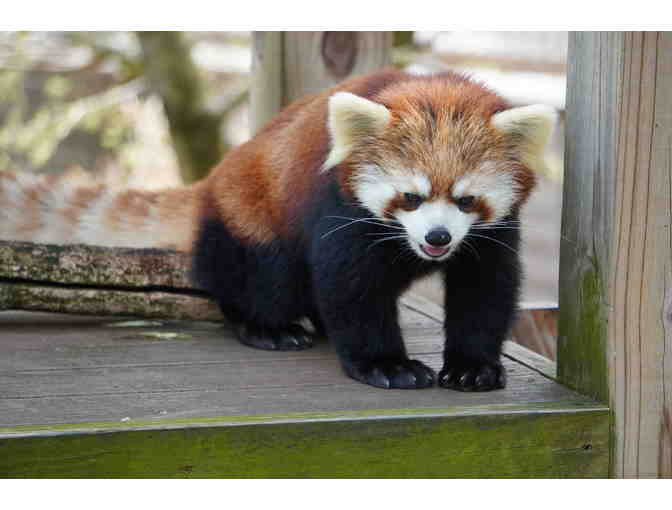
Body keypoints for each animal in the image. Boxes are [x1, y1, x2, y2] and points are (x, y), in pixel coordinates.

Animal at [0, 69, 556, 390]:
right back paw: (267, 326)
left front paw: (471, 366)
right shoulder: (338, 207)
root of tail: (210, 181)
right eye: (411, 198)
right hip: (250, 218)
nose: (437, 238)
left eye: (465, 200)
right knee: (264, 277)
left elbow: (486, 291)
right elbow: (351, 287)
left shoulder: (492, 234)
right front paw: (386, 364)